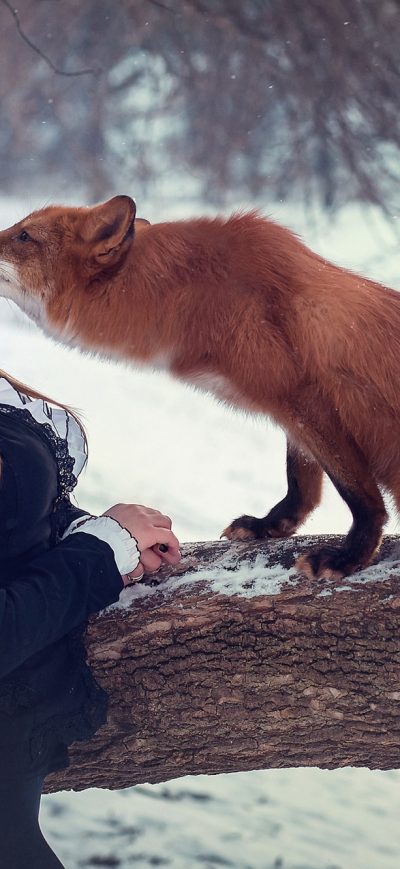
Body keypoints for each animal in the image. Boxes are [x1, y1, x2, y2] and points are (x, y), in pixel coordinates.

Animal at [0, 194, 399, 580]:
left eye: (24, 236)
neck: (196, 295)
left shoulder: (301, 397)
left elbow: (357, 492)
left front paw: (351, 556)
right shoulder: (292, 408)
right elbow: (301, 481)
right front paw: (270, 525)